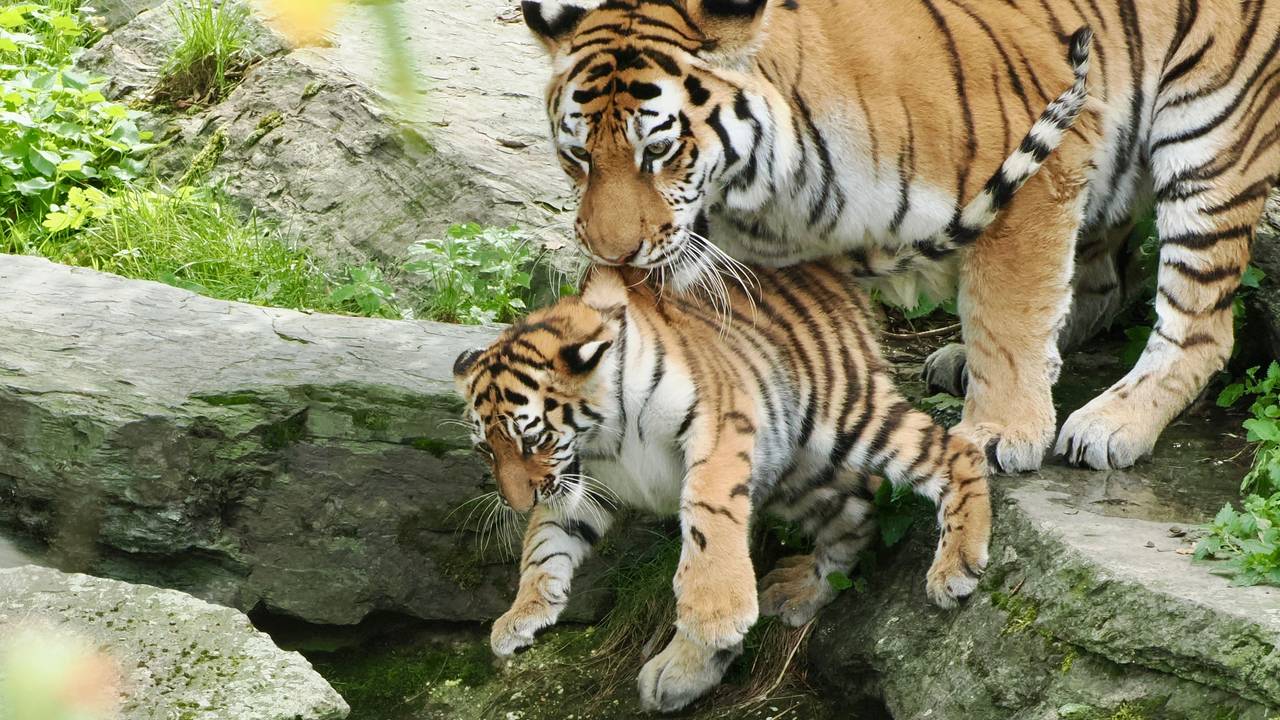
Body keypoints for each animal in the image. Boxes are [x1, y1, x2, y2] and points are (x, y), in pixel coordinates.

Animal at [516, 0, 1280, 475]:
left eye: (659, 152)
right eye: (577, 157)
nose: (612, 254)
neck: (766, 193)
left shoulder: (1041, 172)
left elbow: (1010, 310)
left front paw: (999, 433)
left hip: (1209, 131)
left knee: (1200, 326)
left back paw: (1110, 424)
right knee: (1103, 284)